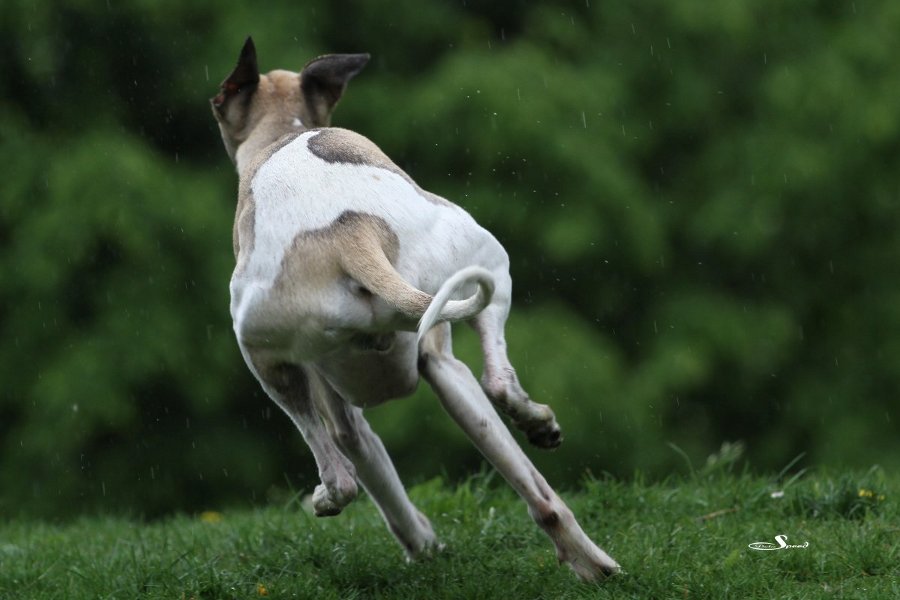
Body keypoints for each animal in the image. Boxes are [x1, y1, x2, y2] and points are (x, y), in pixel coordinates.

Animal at [211, 38, 620, 580]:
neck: (282, 133)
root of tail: (351, 234)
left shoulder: (339, 401)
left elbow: (360, 453)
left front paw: (419, 541)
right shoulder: (420, 368)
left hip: (272, 349)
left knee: (343, 474)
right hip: (474, 281)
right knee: (507, 412)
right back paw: (588, 550)